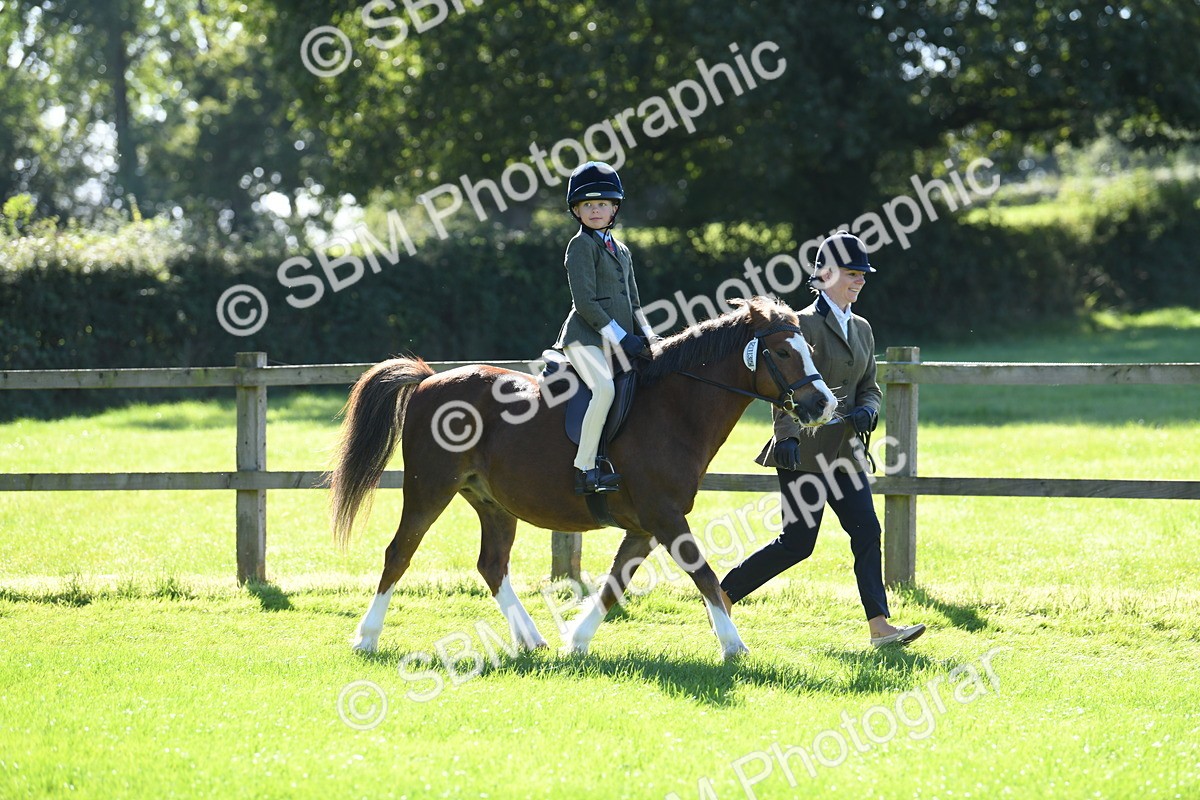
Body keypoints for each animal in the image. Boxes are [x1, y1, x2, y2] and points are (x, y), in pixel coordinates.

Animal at [329, 295, 839, 660]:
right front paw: (734, 645)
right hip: (428, 489)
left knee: (492, 565)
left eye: (809, 349)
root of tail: (429, 380)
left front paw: (576, 640)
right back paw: (366, 638)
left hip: (493, 503)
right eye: (780, 351)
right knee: (399, 553)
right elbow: (705, 574)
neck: (674, 408)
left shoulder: (644, 528)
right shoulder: (666, 517)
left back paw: (530, 639)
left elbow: (616, 584)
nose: (823, 404)